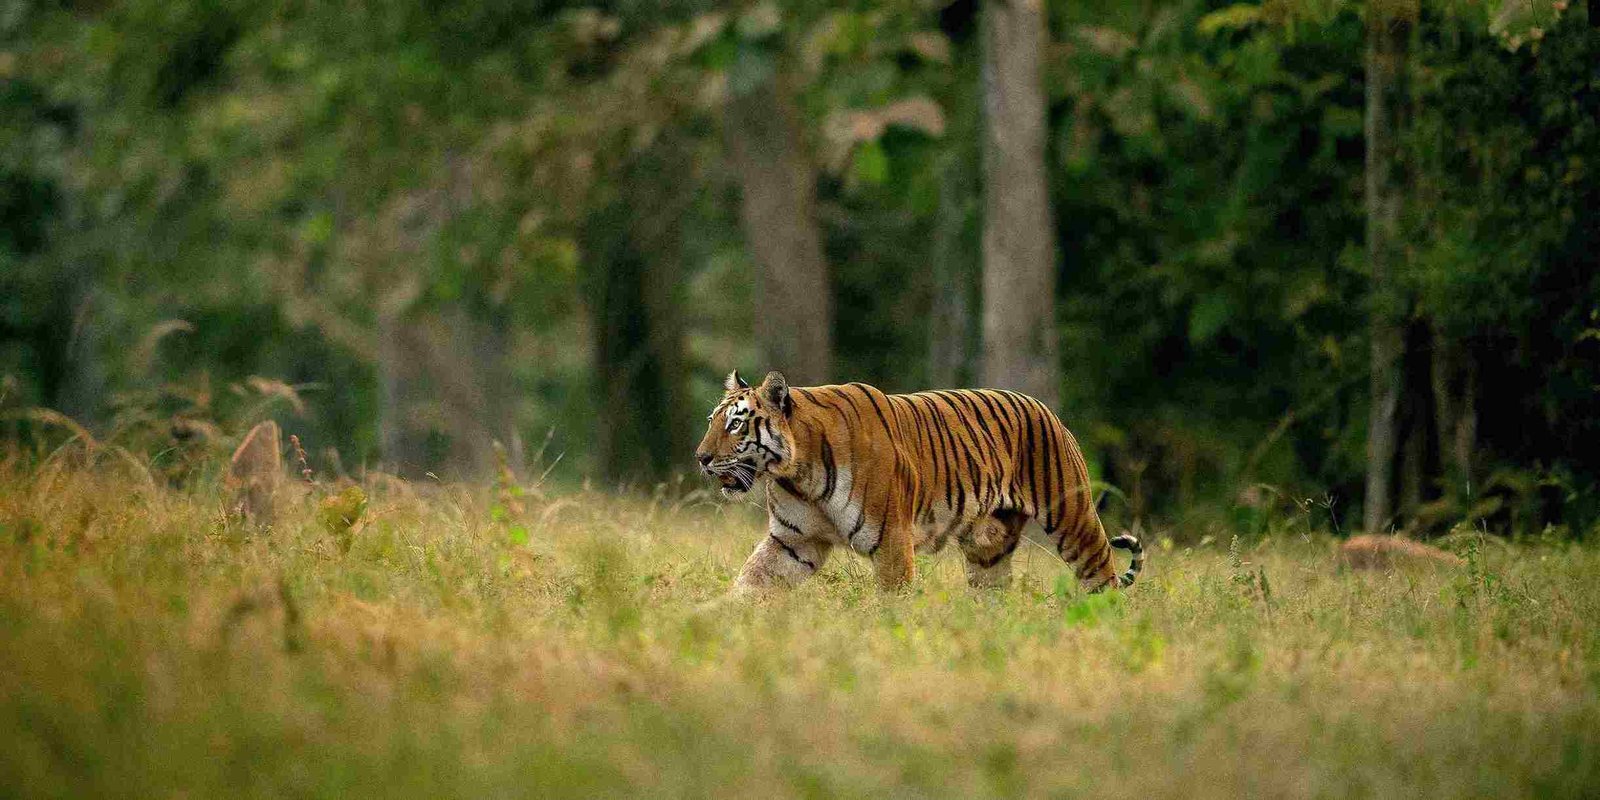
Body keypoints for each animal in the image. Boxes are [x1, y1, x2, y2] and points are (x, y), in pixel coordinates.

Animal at [694, 370, 1144, 593]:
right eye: (713, 421)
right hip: (988, 548)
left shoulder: (891, 540)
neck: (798, 473)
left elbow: (893, 603)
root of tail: (1044, 408)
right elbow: (750, 583)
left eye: (735, 425)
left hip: (1072, 517)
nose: (701, 458)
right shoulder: (793, 541)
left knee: (1103, 578)